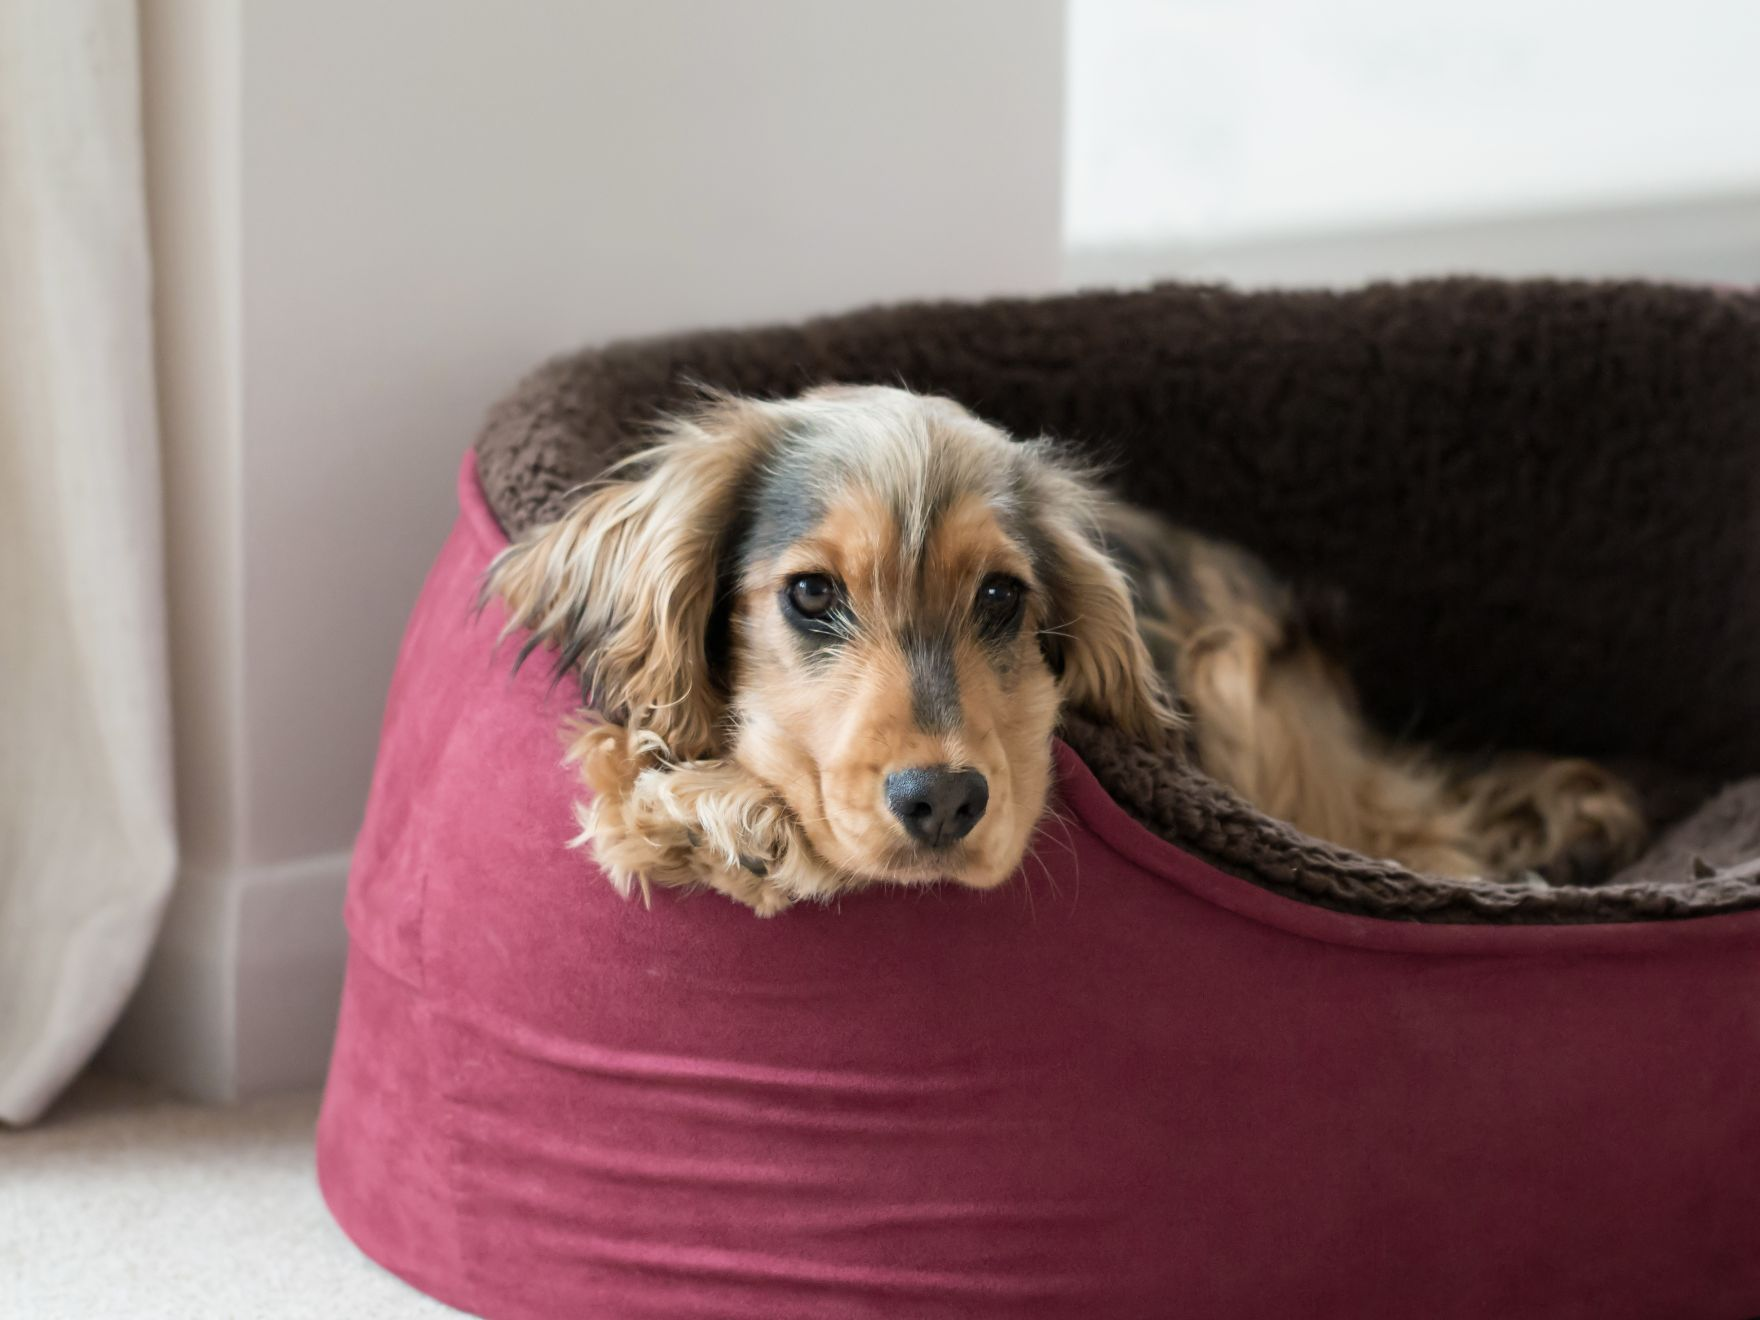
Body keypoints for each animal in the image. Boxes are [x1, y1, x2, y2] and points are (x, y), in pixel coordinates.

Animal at [485, 387, 1647, 915]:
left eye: (1001, 598)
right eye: (811, 594)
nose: (943, 803)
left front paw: (724, 816)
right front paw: (691, 804)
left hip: (1244, 683)